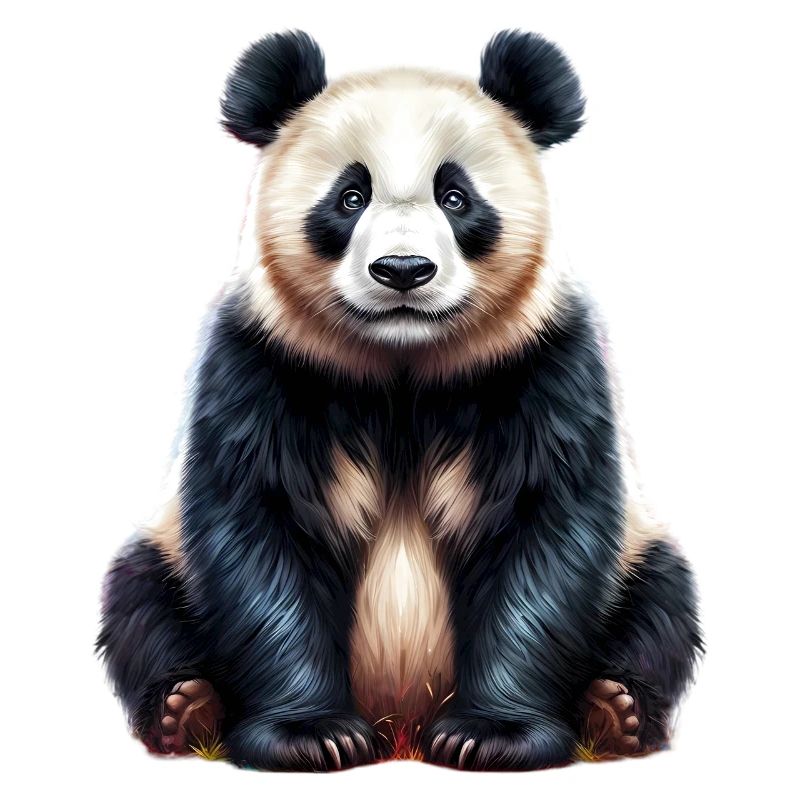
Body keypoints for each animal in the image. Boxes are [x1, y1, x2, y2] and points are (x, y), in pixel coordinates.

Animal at [97, 29, 702, 771]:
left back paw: (617, 711)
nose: (404, 270)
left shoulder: (543, 364)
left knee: (662, 602)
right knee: (138, 600)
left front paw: (492, 736)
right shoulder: (262, 364)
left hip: (638, 556)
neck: (402, 364)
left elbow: (545, 530)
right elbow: (261, 531)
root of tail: (401, 723)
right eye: (350, 196)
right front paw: (310, 736)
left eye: (457, 196)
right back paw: (185, 708)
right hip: (166, 555)